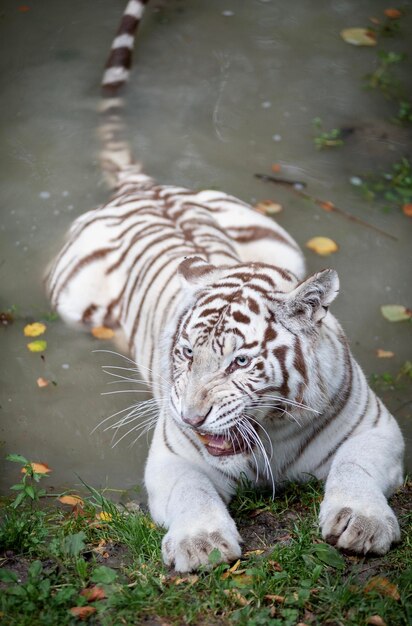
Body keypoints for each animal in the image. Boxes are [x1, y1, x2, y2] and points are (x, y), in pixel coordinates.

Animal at [45, 0, 402, 572]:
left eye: (240, 362)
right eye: (186, 353)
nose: (193, 416)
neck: (271, 435)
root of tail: (144, 186)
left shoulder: (375, 429)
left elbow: (356, 470)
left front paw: (362, 525)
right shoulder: (173, 456)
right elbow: (193, 493)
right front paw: (202, 544)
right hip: (73, 302)